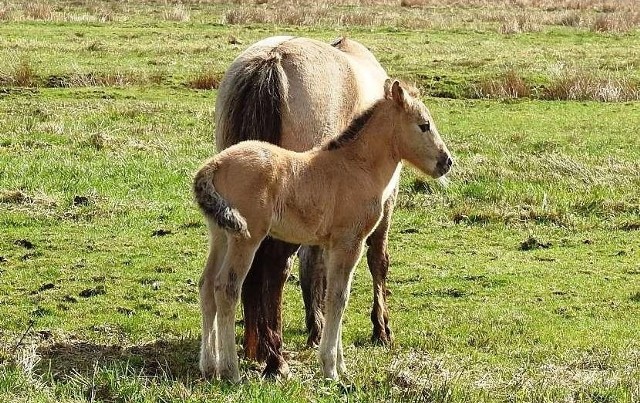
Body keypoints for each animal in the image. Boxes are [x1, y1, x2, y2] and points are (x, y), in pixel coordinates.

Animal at [192, 79, 452, 382]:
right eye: (424, 125)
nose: (446, 162)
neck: (356, 167)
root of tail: (215, 164)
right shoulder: (349, 242)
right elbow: (339, 297)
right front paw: (331, 368)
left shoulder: (331, 245)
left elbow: (332, 297)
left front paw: (339, 364)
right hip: (245, 237)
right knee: (226, 287)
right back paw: (230, 370)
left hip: (220, 234)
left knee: (207, 285)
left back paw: (208, 366)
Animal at [212, 35, 396, 378]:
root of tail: (272, 60)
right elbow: (378, 260)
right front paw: (380, 329)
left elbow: (315, 264)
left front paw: (317, 326)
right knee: (275, 266)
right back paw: (275, 359)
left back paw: (256, 346)